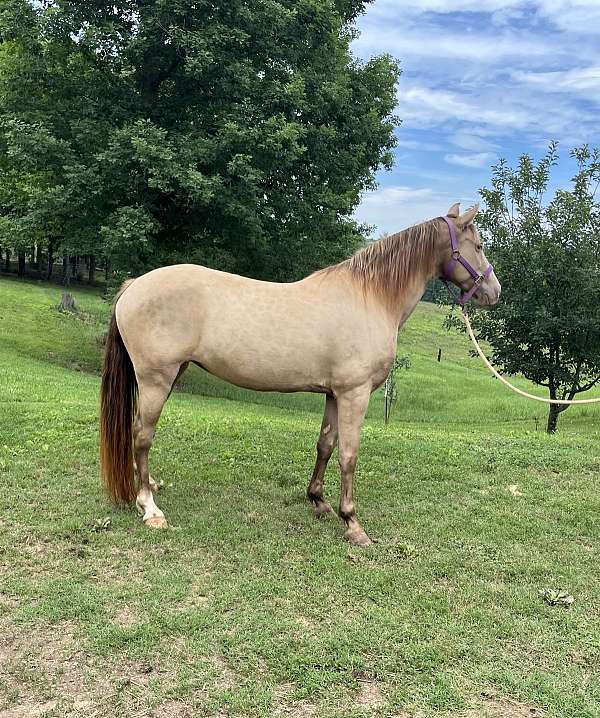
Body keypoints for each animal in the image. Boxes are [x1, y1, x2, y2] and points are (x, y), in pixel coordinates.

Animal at [99, 203, 501, 546]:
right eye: (479, 245)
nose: (494, 292)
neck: (371, 297)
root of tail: (135, 285)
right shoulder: (355, 394)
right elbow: (349, 455)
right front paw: (353, 524)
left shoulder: (334, 393)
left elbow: (326, 445)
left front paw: (318, 501)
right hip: (156, 378)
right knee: (142, 436)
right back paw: (150, 508)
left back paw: (151, 486)